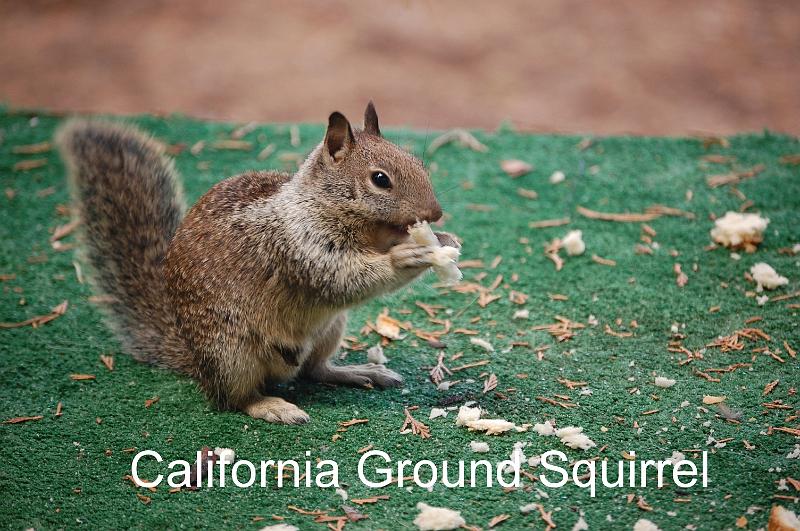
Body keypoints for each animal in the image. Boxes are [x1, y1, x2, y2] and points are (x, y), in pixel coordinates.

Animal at [56, 104, 460, 426]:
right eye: (380, 179)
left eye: (418, 163)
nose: (435, 213)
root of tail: (193, 357)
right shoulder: (297, 248)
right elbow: (343, 279)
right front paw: (406, 256)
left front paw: (445, 240)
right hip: (231, 353)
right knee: (234, 399)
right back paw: (271, 406)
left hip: (328, 330)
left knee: (314, 370)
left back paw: (358, 371)